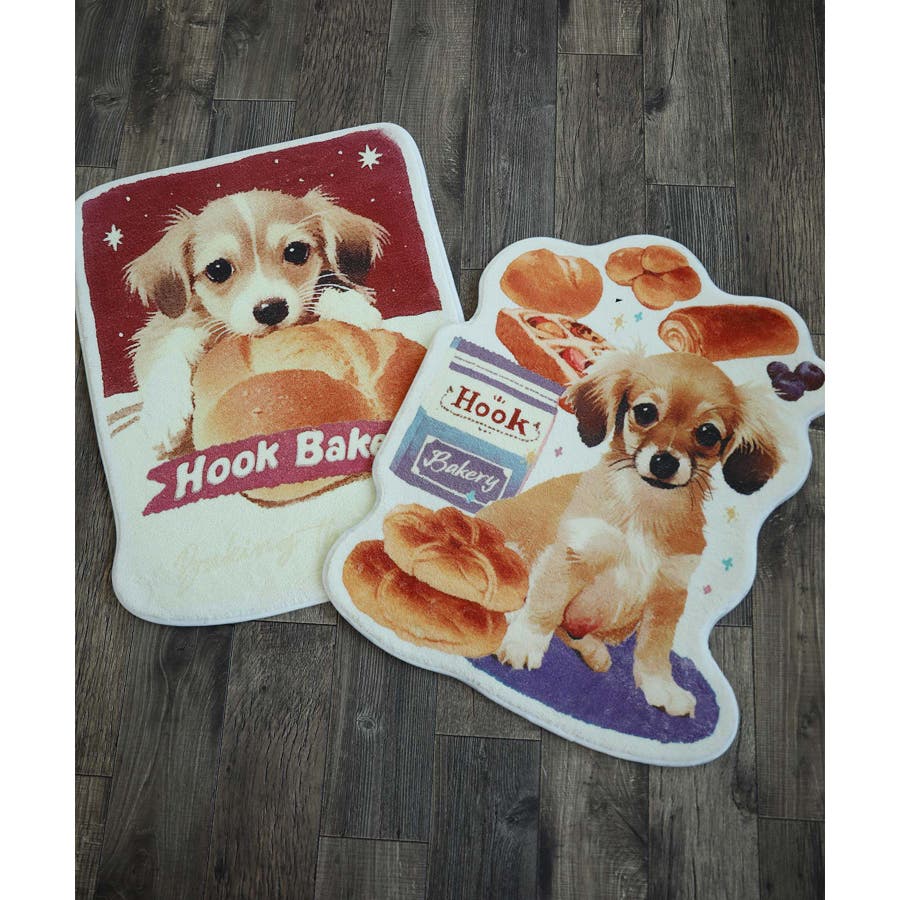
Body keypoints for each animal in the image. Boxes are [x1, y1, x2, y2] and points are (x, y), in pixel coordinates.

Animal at [125, 188, 387, 455]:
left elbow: (329, 285)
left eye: (295, 251)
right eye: (218, 269)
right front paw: (164, 414)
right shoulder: (163, 329)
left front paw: (351, 307)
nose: (271, 309)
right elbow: (165, 353)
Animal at [478, 349, 783, 717]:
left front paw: (661, 688)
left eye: (708, 433)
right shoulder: (574, 555)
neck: (646, 508)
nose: (664, 462)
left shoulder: (668, 593)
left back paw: (595, 653)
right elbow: (546, 605)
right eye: (645, 411)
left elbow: (654, 649)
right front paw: (524, 644)